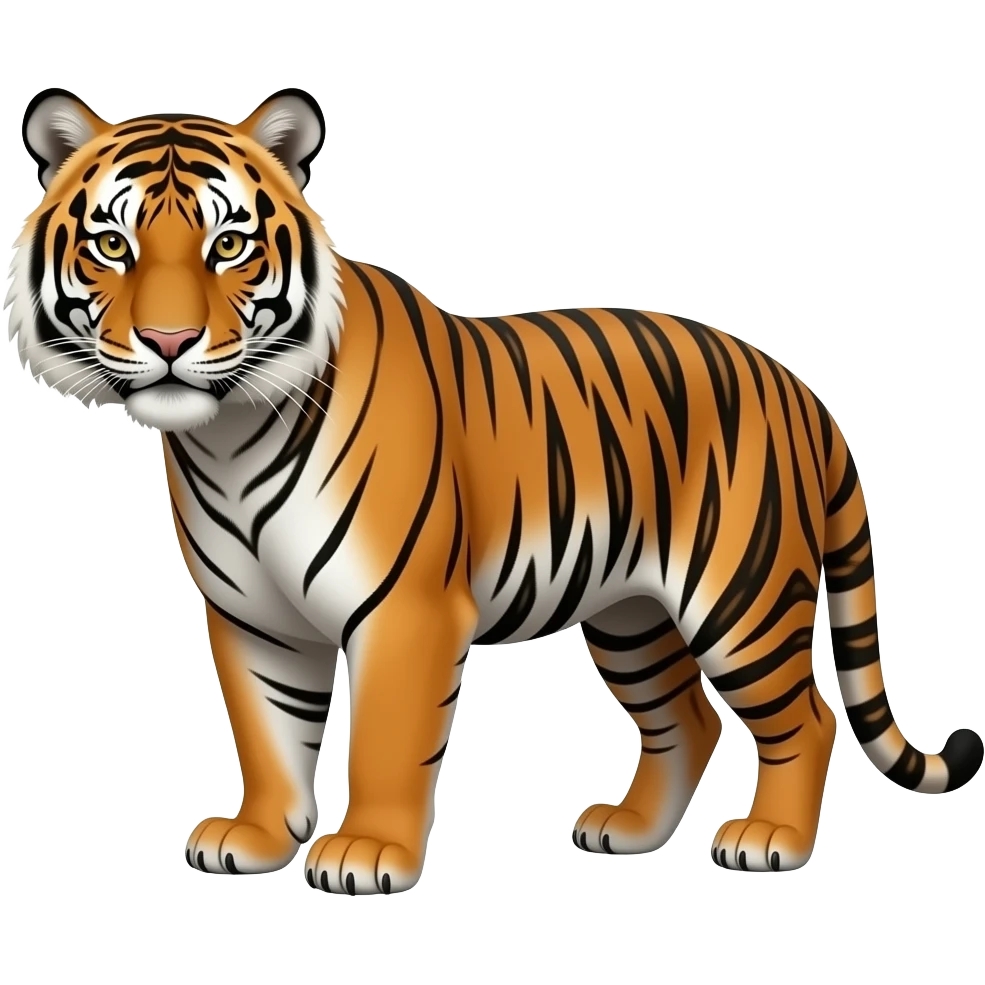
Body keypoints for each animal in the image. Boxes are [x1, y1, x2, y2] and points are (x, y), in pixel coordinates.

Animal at [6, 85, 982, 895]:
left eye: (229, 245)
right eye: (112, 245)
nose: (169, 342)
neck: (227, 436)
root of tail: (798, 387)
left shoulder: (403, 608)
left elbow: (386, 738)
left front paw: (367, 852)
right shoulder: (253, 616)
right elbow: (268, 732)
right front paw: (256, 839)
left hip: (739, 595)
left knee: (806, 717)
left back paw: (769, 840)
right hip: (631, 615)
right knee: (687, 720)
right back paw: (629, 830)